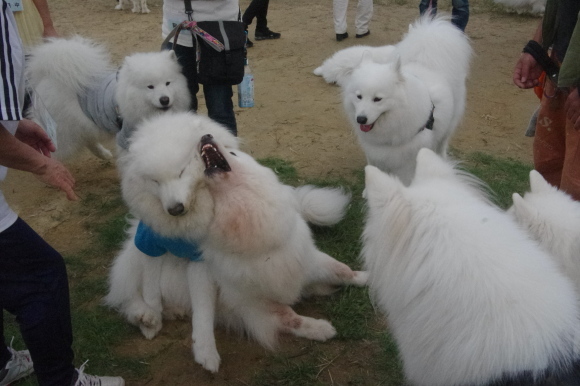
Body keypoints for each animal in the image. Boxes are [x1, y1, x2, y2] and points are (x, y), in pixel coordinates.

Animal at [26, 36, 189, 161]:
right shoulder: (126, 137)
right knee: (49, 153)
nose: (164, 99)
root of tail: (47, 77)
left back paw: (103, 154)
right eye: (150, 87)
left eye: (168, 83)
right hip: (64, 133)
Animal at [104, 113, 368, 372]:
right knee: (130, 295)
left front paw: (366, 277)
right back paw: (147, 318)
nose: (206, 136)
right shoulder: (250, 302)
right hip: (142, 262)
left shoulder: (305, 261)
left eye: (233, 153)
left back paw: (171, 311)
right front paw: (321, 329)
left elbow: (342, 271)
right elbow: (289, 316)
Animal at [318, 17, 472, 186]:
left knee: (442, 143)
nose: (361, 119)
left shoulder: (407, 162)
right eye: (359, 96)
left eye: (377, 99)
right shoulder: (374, 154)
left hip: (450, 124)